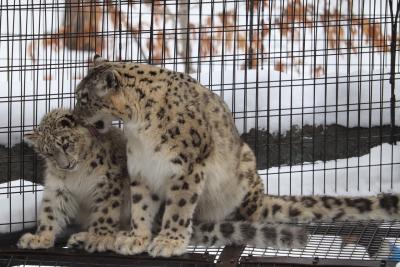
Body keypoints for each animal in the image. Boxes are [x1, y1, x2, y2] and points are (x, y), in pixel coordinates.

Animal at [73, 55, 398, 258]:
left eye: (84, 98)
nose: (76, 116)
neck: (137, 128)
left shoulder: (186, 167)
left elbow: (178, 208)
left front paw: (169, 241)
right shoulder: (142, 169)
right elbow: (141, 207)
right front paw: (136, 238)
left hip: (244, 167)